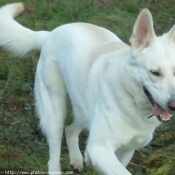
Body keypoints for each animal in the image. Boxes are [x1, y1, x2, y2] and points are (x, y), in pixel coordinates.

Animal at [0, 2, 175, 174]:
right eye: (155, 72)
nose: (173, 105)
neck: (130, 96)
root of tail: (51, 33)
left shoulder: (126, 150)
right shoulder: (99, 150)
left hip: (85, 110)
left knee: (70, 130)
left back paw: (76, 159)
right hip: (55, 116)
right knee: (54, 156)